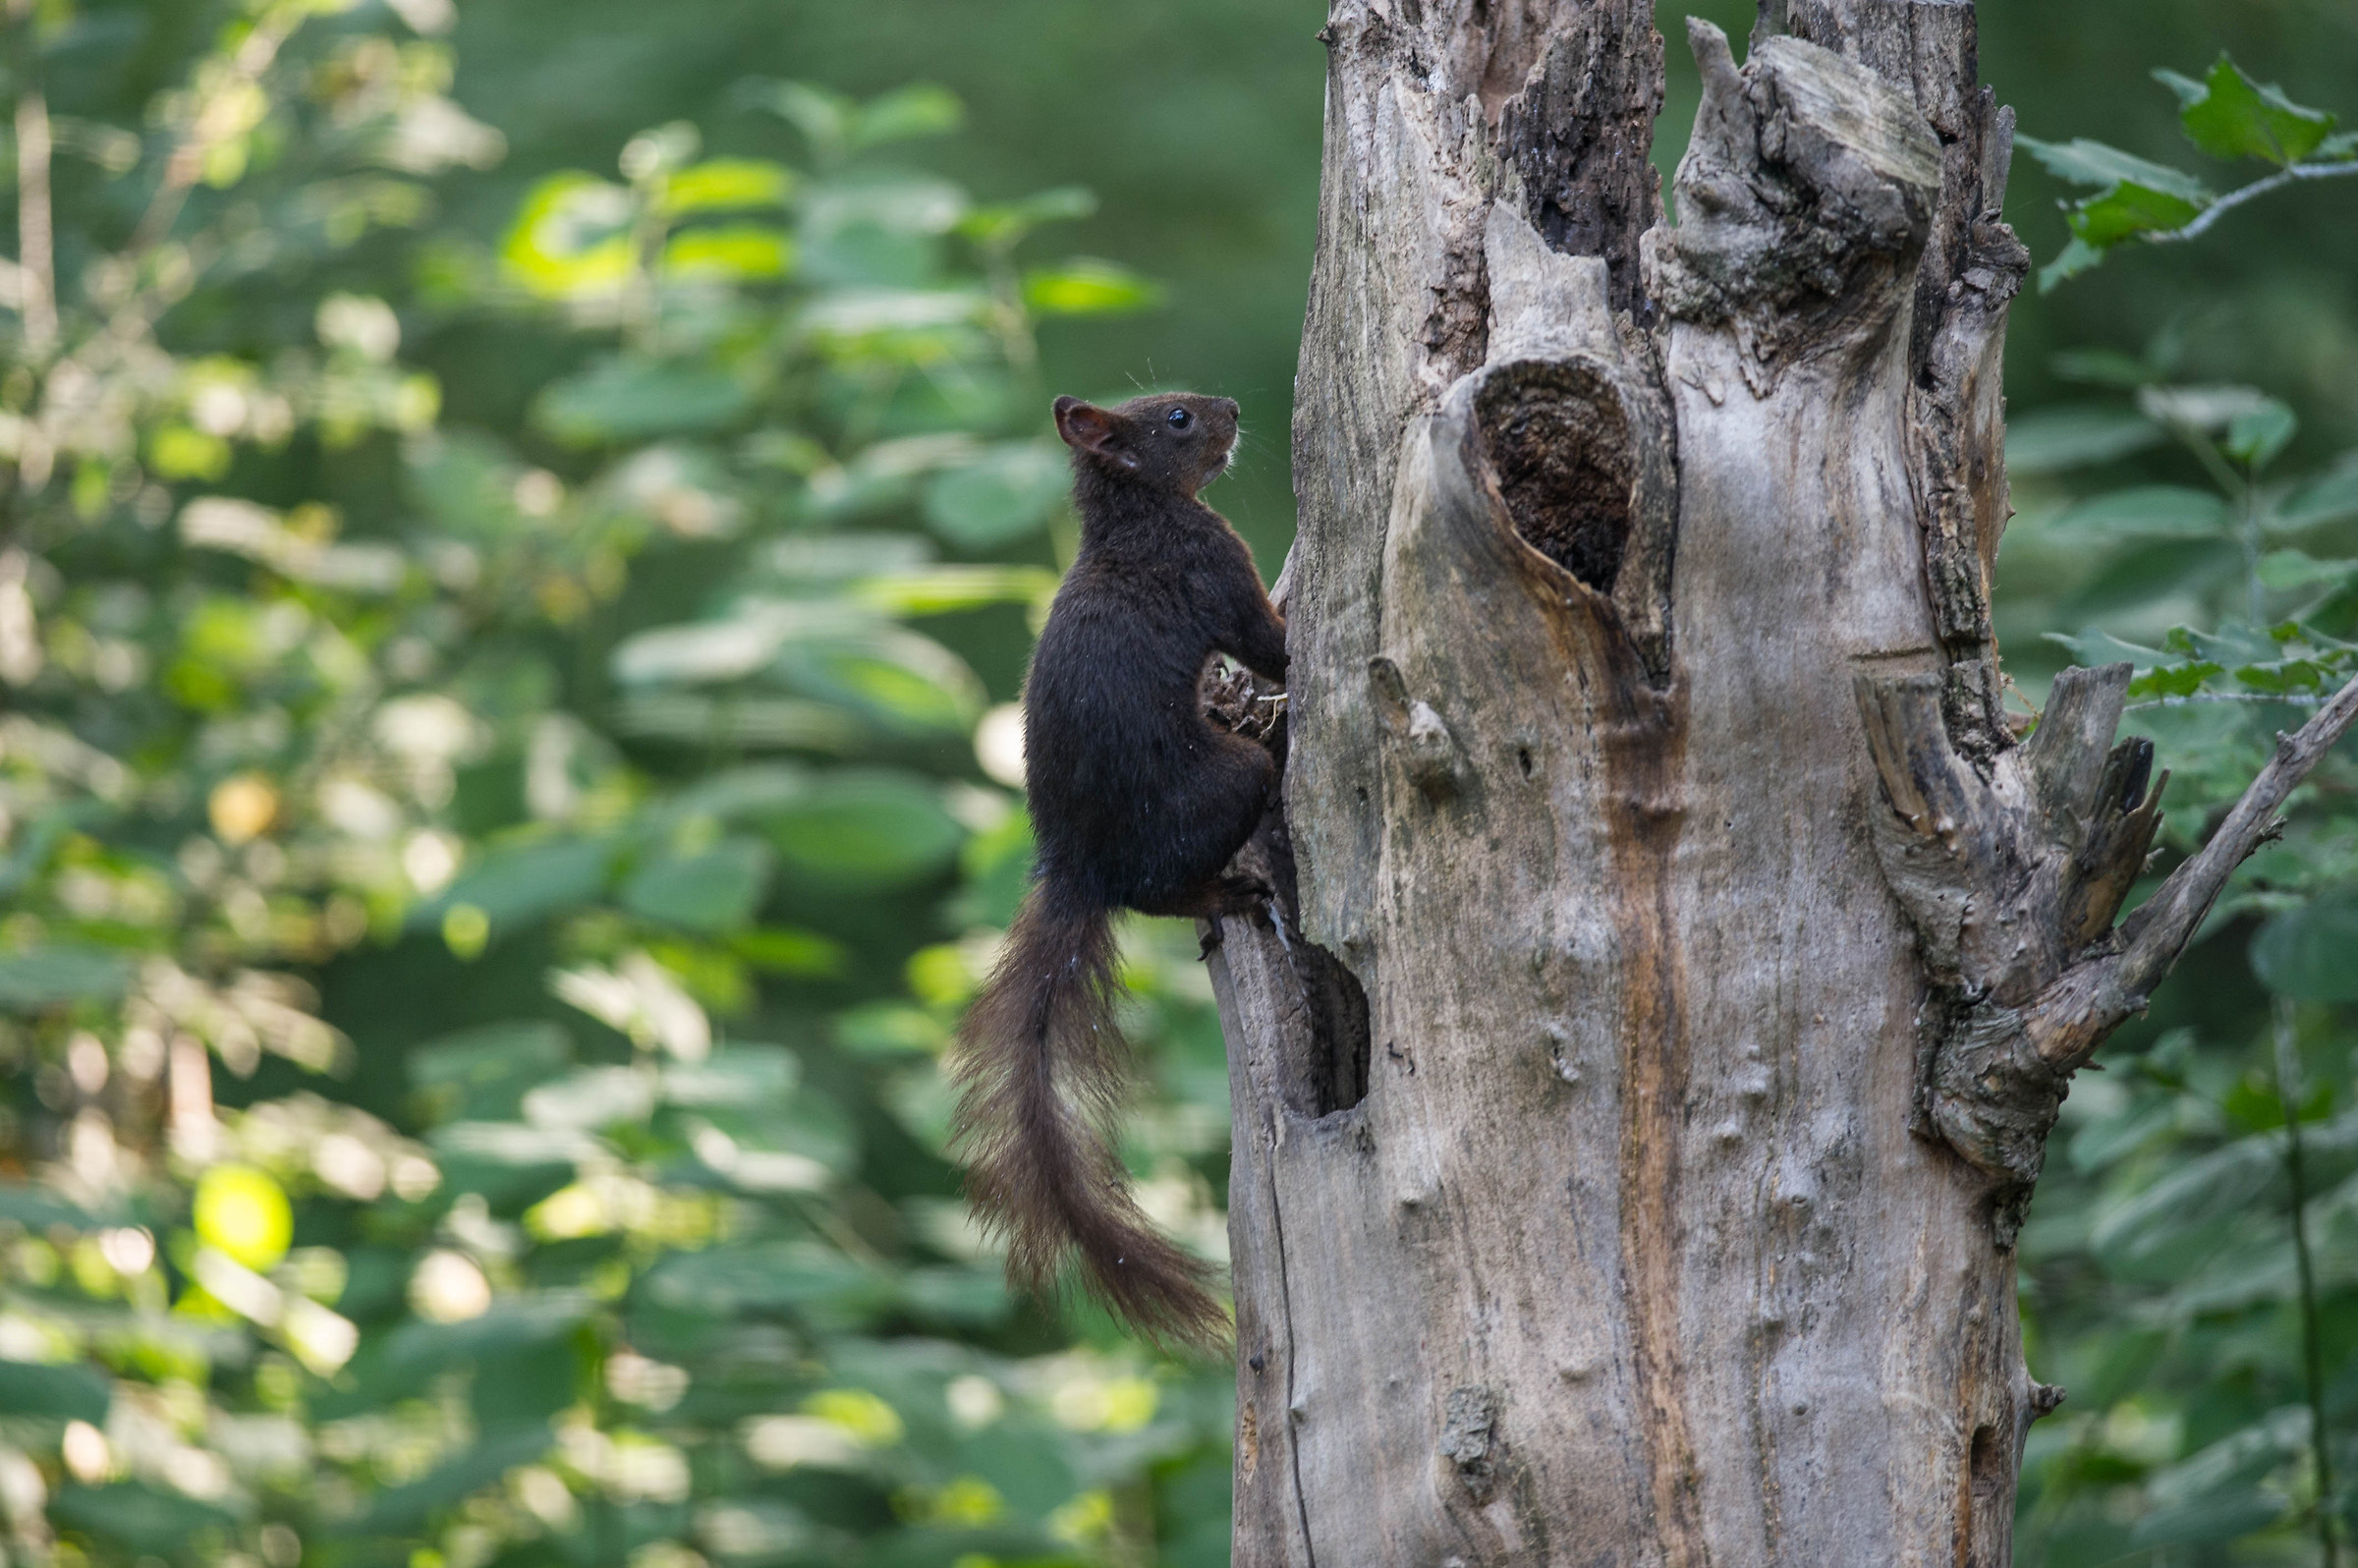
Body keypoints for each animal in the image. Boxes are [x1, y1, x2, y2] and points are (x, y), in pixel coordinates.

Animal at [950, 391, 1289, 1346]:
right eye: (1177, 419)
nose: (1233, 408)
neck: (1135, 517)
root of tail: (1079, 874)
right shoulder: (1211, 561)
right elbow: (1271, 642)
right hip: (1224, 784)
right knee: (1160, 889)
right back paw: (1230, 887)